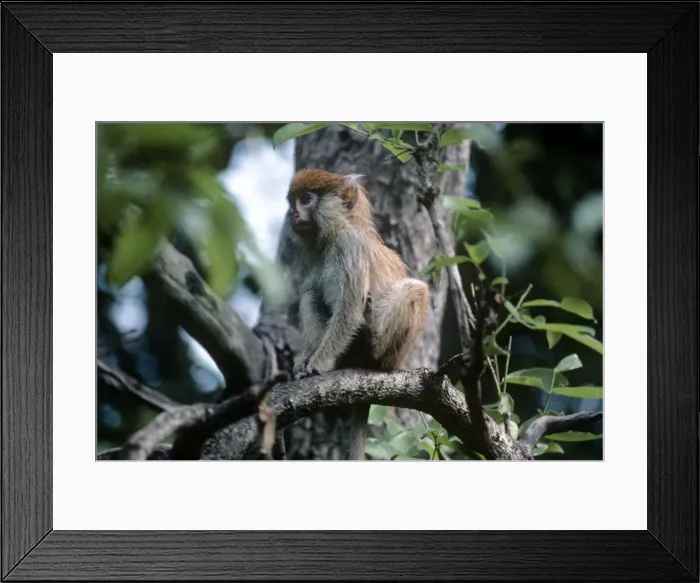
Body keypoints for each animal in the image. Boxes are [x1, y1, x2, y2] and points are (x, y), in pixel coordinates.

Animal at [279, 168, 430, 460]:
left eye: (306, 199)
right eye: (292, 201)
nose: (294, 213)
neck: (336, 233)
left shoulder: (351, 248)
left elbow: (349, 309)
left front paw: (319, 364)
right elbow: (312, 296)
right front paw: (304, 362)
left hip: (394, 354)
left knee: (416, 289)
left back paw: (373, 349)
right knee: (311, 297)